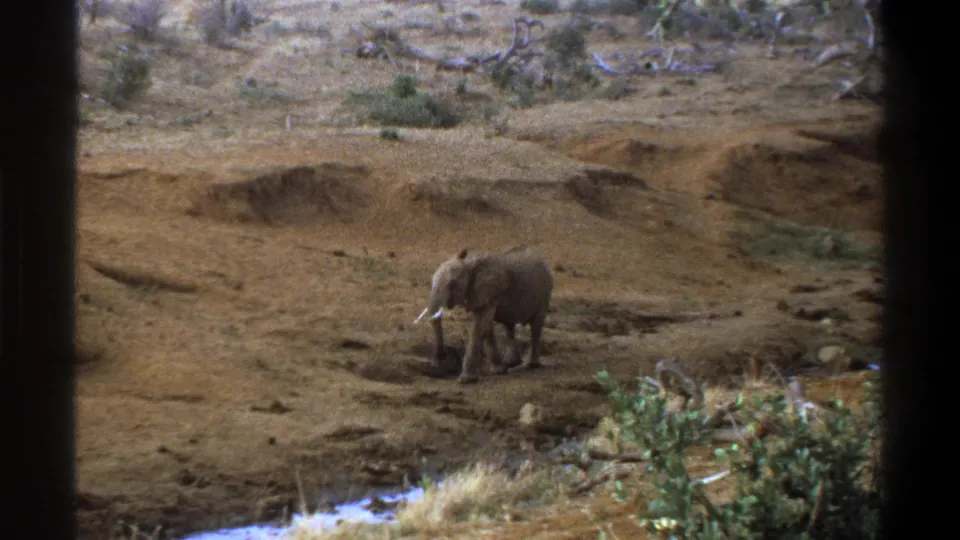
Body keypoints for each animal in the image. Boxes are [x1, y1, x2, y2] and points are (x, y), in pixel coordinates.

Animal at [413, 245, 554, 384]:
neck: (470, 264)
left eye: (453, 284)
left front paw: (466, 380)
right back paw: (512, 363)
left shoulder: (491, 291)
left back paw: (532, 365)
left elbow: (480, 324)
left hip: (544, 292)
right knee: (509, 326)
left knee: (536, 325)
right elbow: (486, 326)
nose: (442, 354)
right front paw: (498, 370)